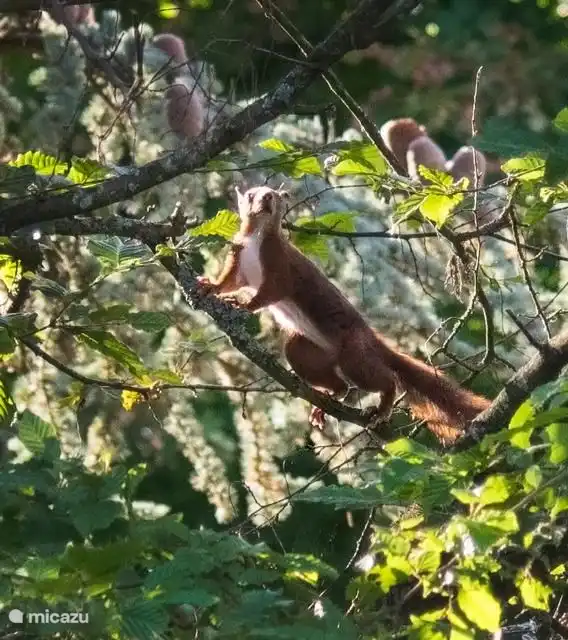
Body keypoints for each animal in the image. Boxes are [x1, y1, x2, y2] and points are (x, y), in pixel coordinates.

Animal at [197, 186, 491, 444]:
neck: (254, 241)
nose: (267, 197)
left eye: (275, 194)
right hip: (305, 350)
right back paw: (324, 404)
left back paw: (380, 409)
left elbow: (270, 292)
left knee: (383, 381)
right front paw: (210, 286)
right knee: (338, 383)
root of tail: (370, 337)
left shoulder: (279, 264)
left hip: (354, 355)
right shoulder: (237, 259)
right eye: (251, 194)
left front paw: (241, 304)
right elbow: (227, 281)